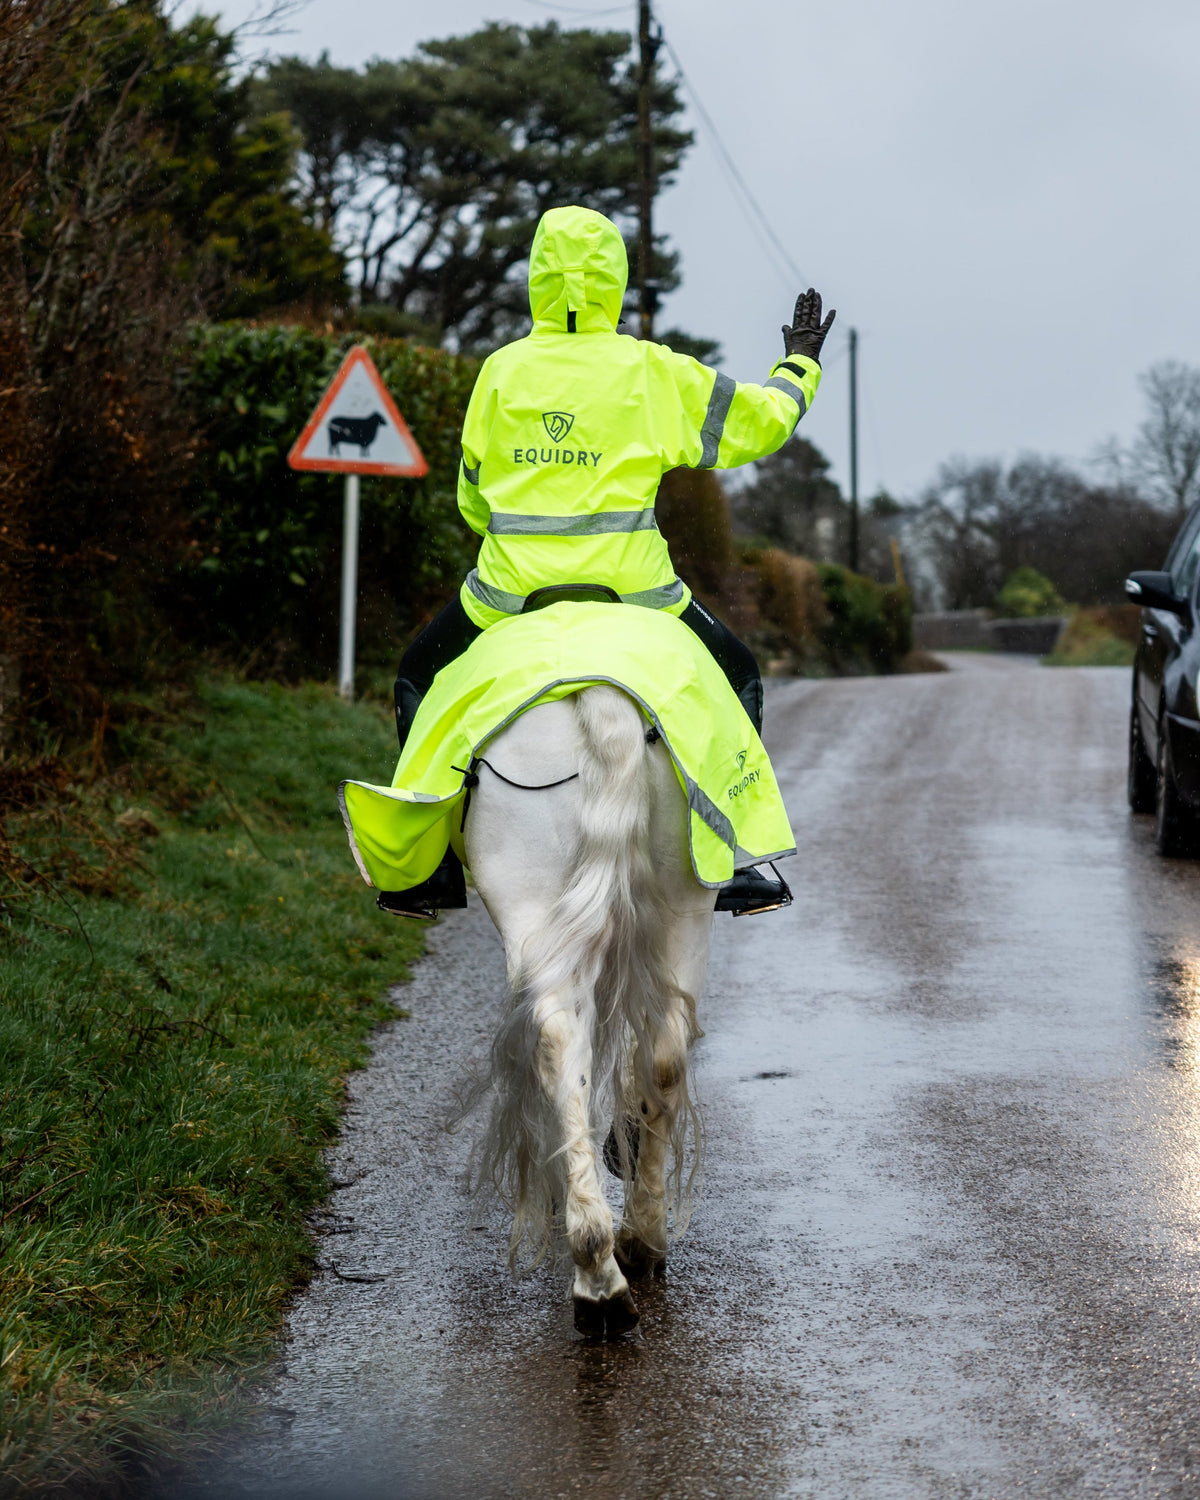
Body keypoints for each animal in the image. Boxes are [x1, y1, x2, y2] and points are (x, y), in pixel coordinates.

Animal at [458, 683, 718, 1337]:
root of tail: (600, 699)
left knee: (566, 1038)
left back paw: (604, 1264)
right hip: (685, 902)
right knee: (656, 1052)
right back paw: (621, 1253)